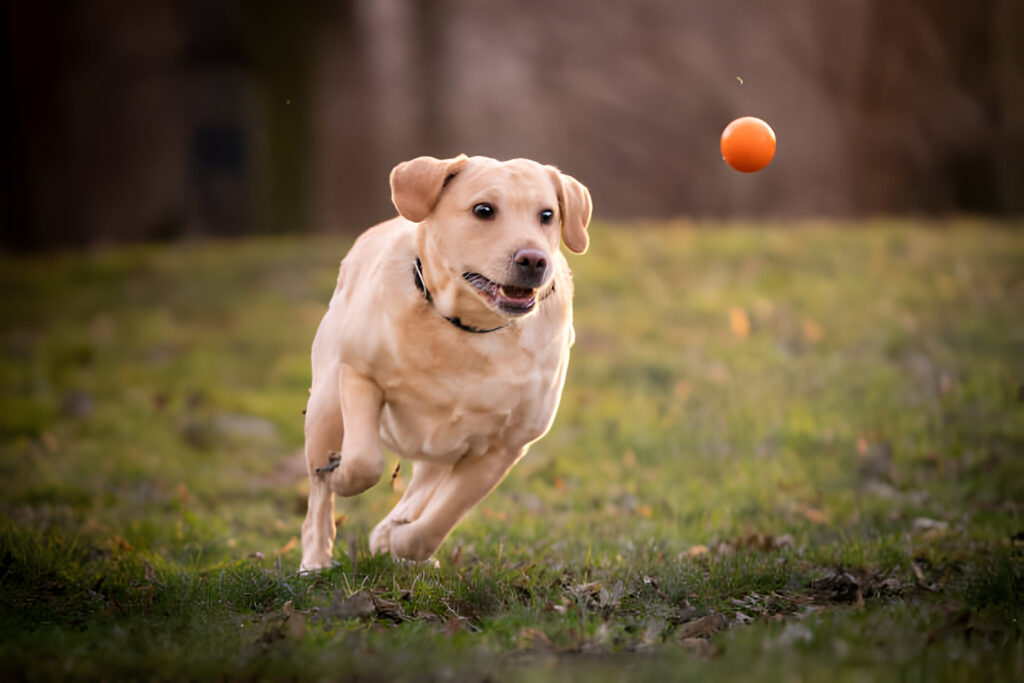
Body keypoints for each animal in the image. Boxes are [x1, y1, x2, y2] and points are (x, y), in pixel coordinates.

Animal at [296, 154, 593, 573]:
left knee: (419, 494)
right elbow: (364, 461)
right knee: (318, 500)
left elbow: (439, 520)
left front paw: (401, 542)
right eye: (484, 210)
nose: (534, 259)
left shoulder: (505, 447)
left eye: (547, 215)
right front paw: (342, 478)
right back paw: (315, 560)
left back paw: (388, 533)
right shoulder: (358, 374)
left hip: (442, 451)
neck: (467, 329)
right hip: (325, 404)